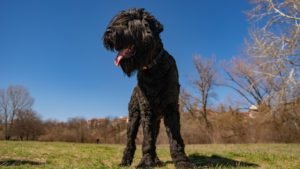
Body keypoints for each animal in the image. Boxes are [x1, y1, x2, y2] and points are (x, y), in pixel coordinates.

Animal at [102, 8, 192, 169]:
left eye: (129, 23)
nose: (107, 32)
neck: (153, 68)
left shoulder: (171, 108)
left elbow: (175, 137)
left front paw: (181, 160)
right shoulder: (147, 110)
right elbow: (147, 140)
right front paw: (145, 162)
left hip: (155, 120)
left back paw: (156, 160)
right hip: (133, 118)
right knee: (130, 141)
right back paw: (126, 160)